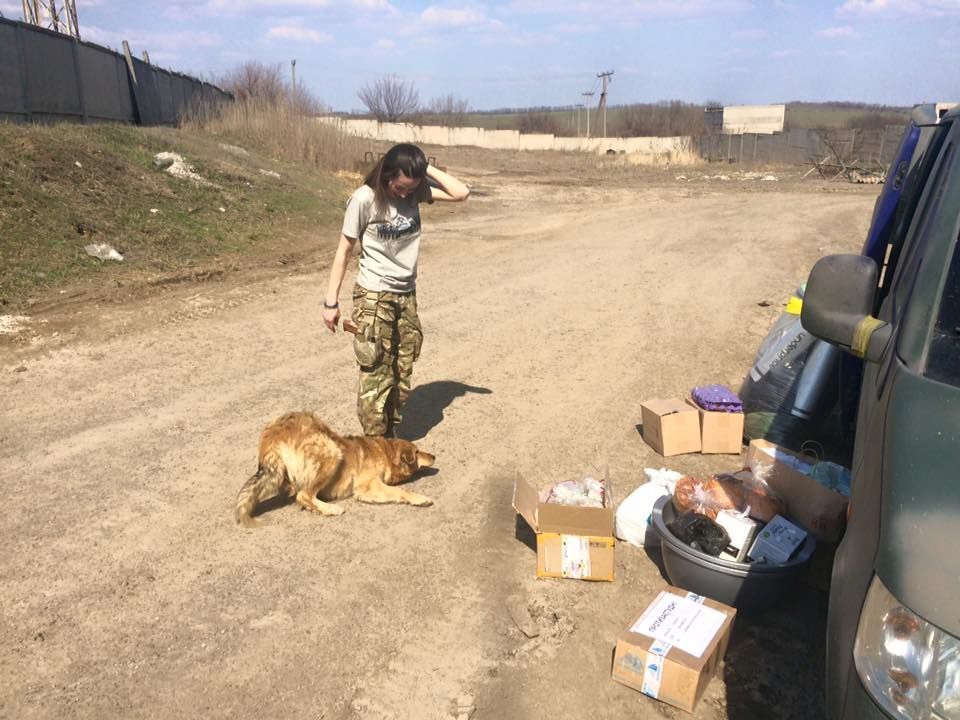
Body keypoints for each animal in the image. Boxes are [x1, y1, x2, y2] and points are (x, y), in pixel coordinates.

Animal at [234, 414, 436, 524]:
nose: (434, 456)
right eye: (417, 452)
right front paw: (420, 498)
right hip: (332, 451)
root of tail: (273, 436)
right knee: (304, 495)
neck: (384, 452)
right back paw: (330, 509)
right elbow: (401, 491)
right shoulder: (368, 486)